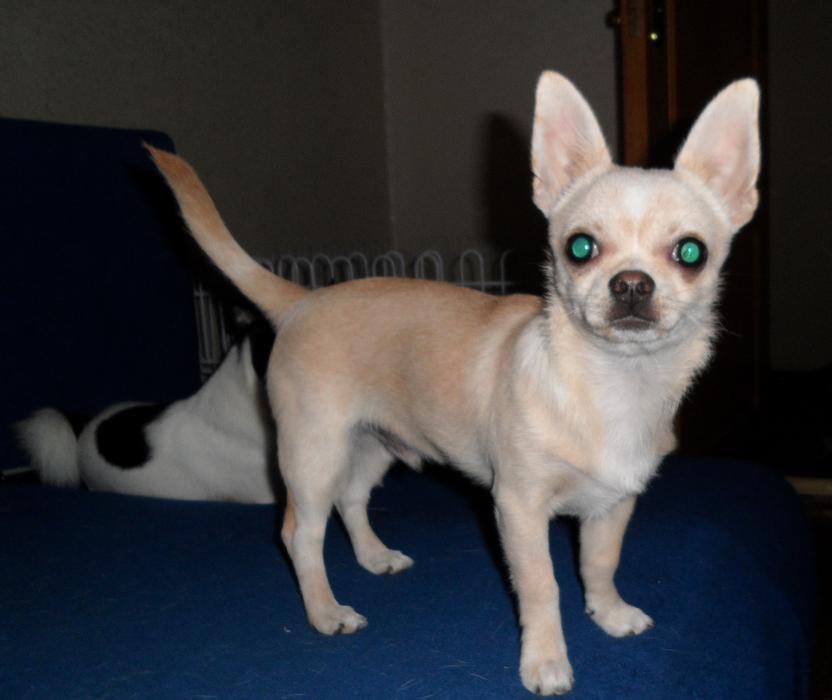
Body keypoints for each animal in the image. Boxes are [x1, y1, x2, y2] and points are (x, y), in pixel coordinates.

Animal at [147, 71, 759, 695]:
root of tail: (302, 300)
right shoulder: (518, 509)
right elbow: (542, 587)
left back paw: (374, 557)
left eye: (691, 252)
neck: (611, 383)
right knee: (301, 533)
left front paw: (608, 613)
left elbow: (598, 563)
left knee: (351, 499)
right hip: (313, 454)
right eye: (580, 247)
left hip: (371, 445)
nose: (631, 283)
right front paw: (545, 660)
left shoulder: (611, 505)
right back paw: (325, 610)